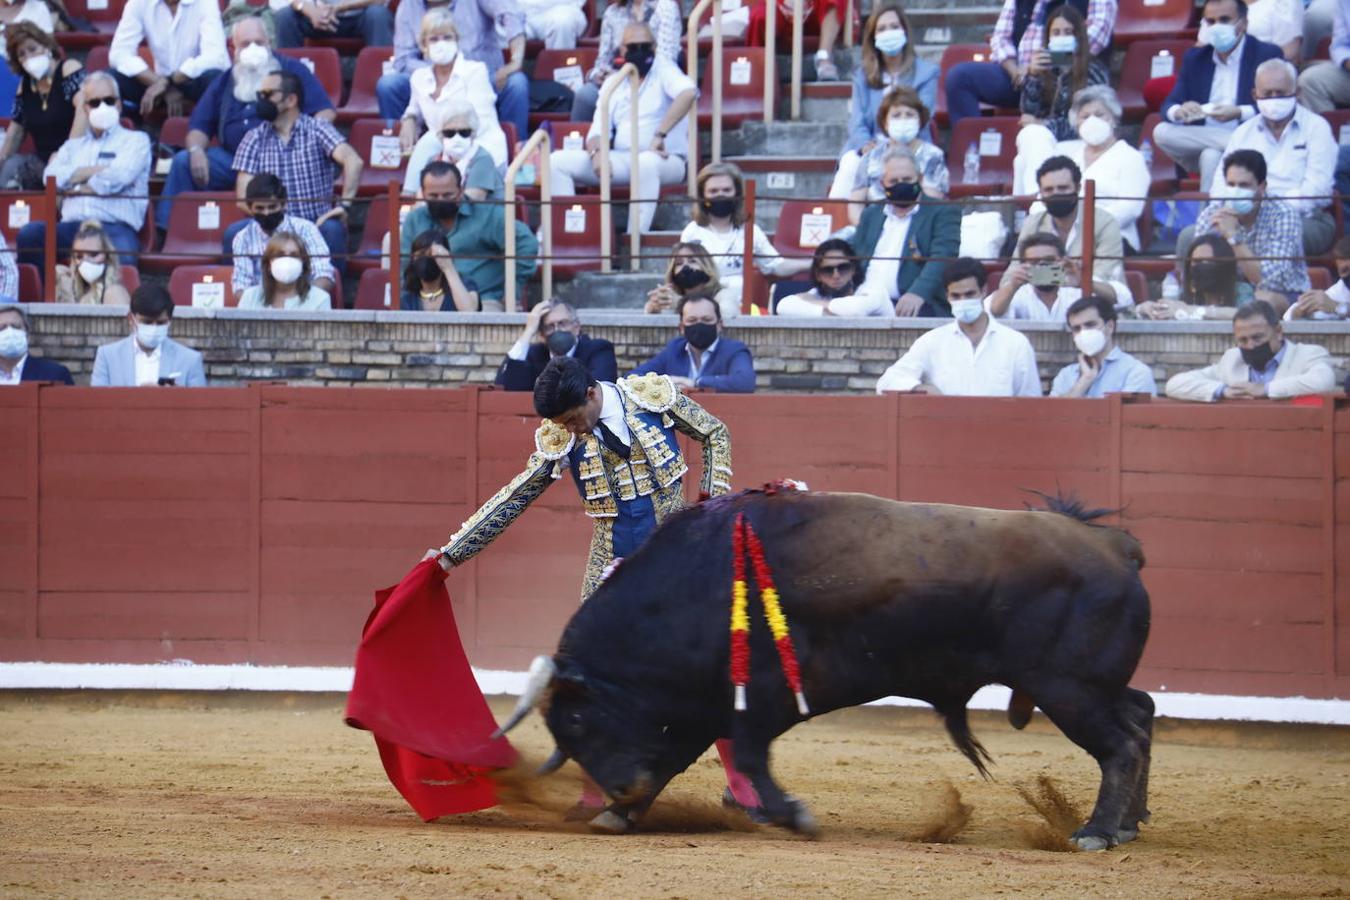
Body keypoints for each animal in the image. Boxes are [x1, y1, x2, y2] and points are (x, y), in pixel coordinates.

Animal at [507, 493, 1150, 852]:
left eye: (580, 721)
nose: (620, 789)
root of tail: (1116, 548)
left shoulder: (758, 699)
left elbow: (748, 757)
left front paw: (794, 816)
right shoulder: (701, 707)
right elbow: (678, 757)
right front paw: (618, 815)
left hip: (1069, 689)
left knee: (1119, 745)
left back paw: (1094, 832)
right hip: (1091, 688)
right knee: (1140, 716)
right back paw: (1128, 823)